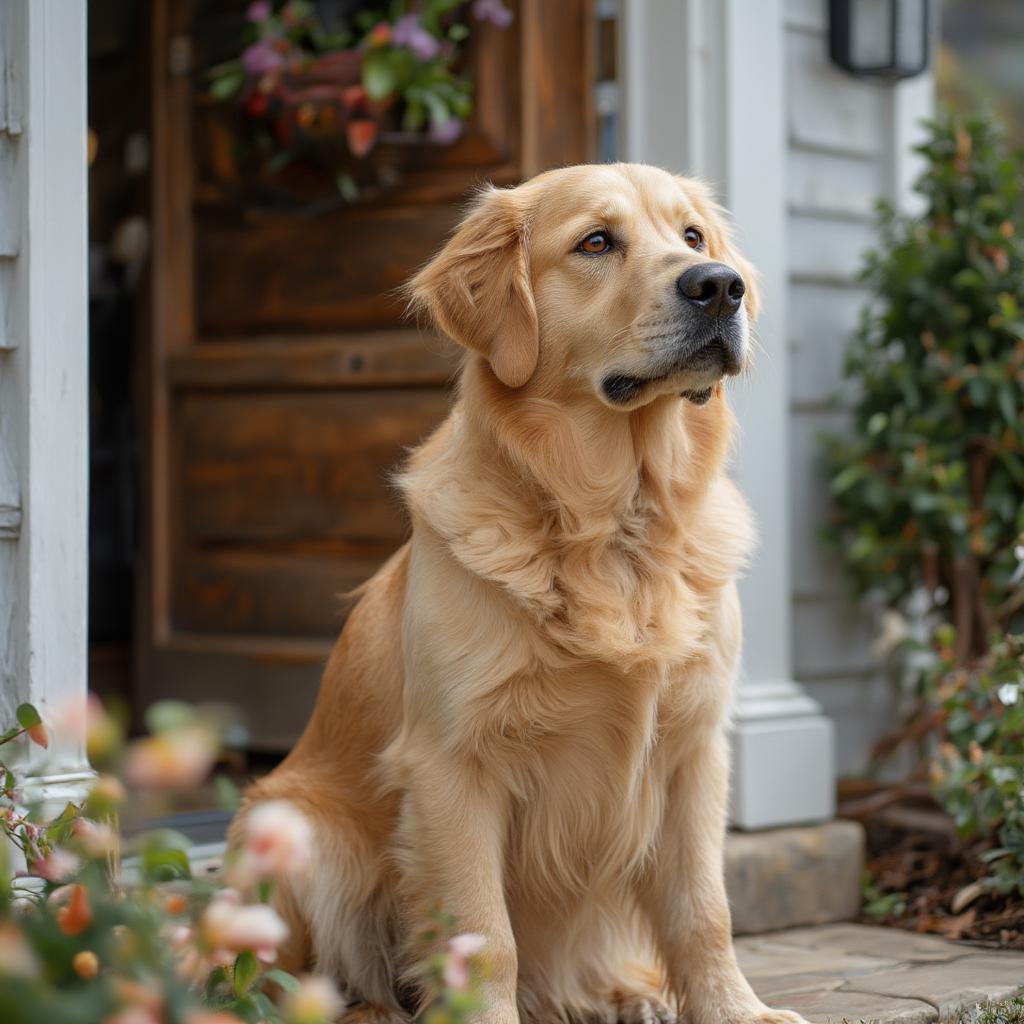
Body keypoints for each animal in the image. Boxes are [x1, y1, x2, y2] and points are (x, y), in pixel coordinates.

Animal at [230, 163, 806, 1019]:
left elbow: (704, 910)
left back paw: (628, 997)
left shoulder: (694, 749)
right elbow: (483, 935)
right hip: (296, 825)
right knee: (286, 979)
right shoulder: (453, 765)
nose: (720, 286)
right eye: (596, 242)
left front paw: (735, 1010)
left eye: (692, 235)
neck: (616, 526)